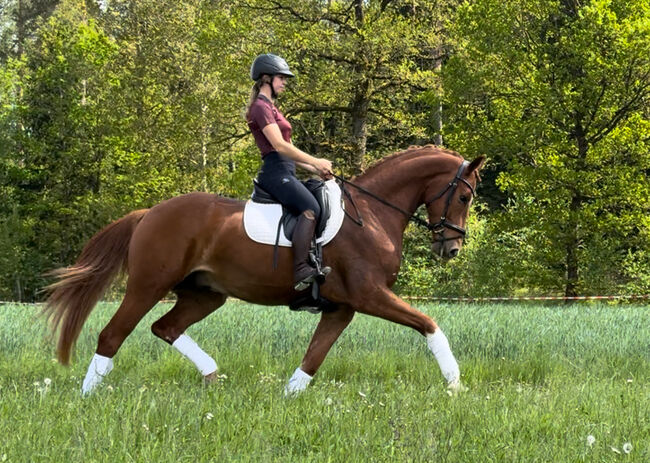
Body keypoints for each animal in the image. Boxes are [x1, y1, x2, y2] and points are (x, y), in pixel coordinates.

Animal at [44, 145, 480, 396]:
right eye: (464, 196)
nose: (451, 248)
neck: (371, 215)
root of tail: (149, 213)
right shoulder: (369, 295)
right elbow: (430, 324)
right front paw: (456, 384)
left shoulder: (342, 307)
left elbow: (312, 358)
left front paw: (289, 399)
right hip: (147, 286)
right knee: (112, 334)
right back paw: (87, 397)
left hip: (205, 294)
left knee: (165, 327)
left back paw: (212, 377)